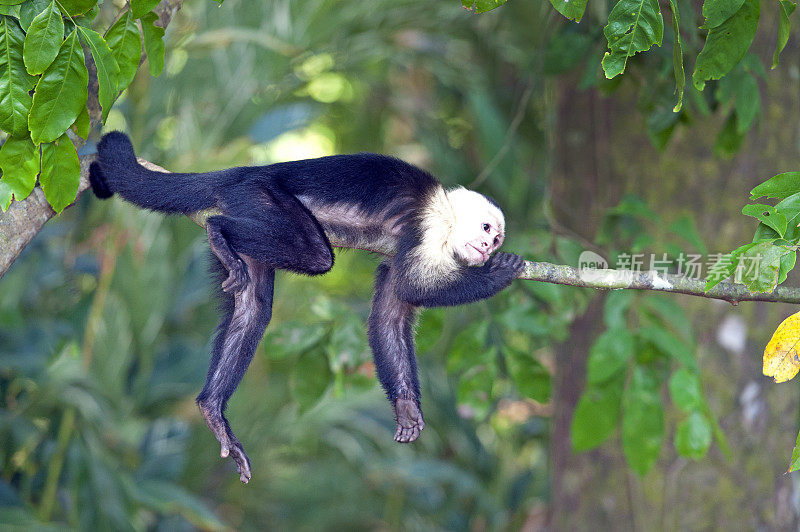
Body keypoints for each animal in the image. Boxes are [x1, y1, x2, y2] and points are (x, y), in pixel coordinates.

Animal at [89, 132, 524, 482]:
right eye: (487, 230)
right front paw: (500, 274)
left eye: (496, 238)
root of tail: (244, 172)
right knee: (315, 254)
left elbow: (391, 311)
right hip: (262, 195)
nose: (489, 248)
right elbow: (412, 283)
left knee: (252, 305)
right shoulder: (430, 225)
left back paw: (213, 408)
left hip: (252, 208)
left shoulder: (400, 254)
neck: (447, 216)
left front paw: (405, 407)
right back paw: (218, 230)